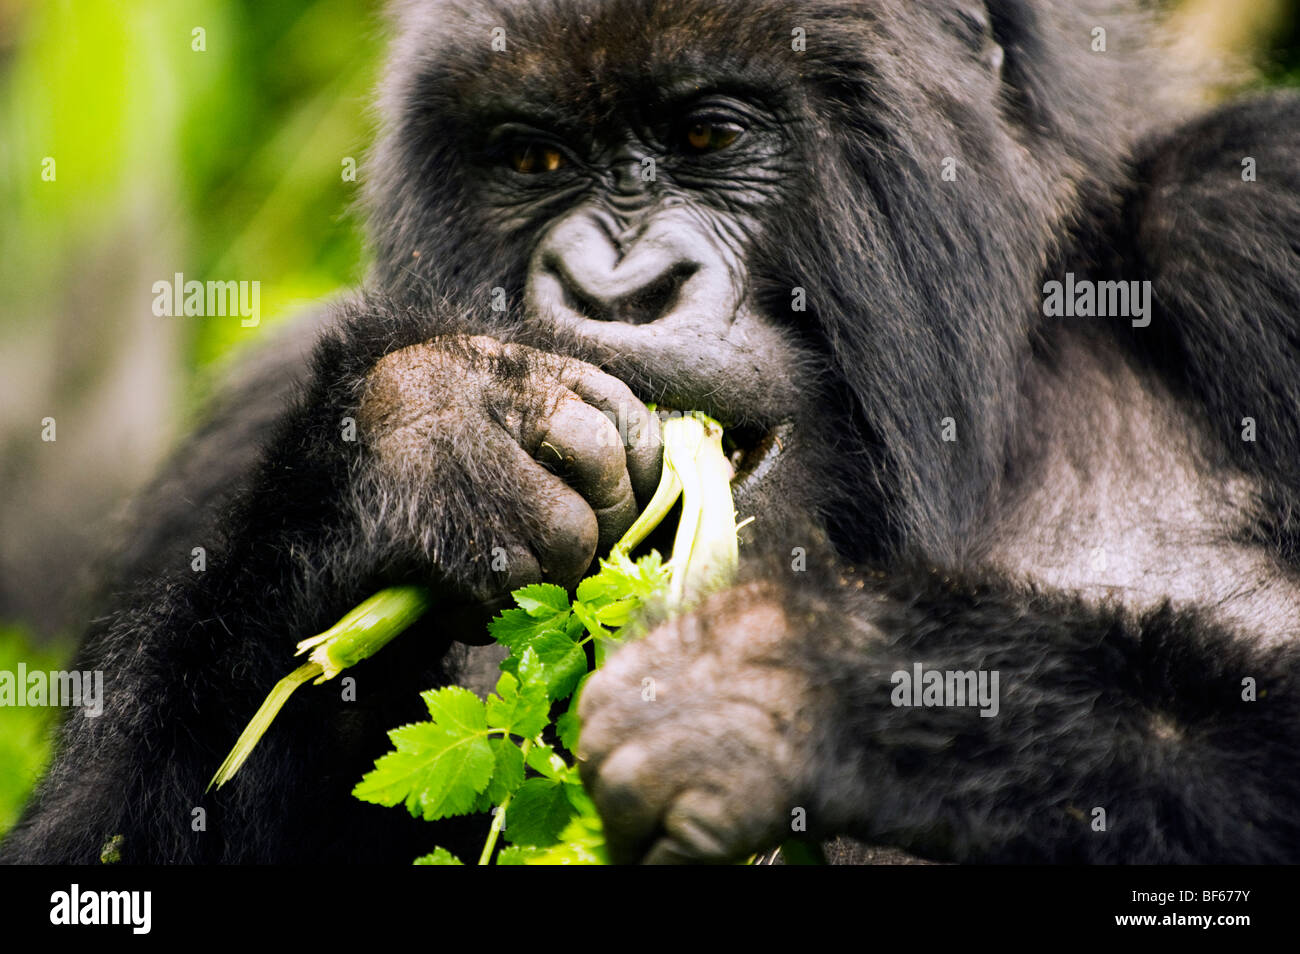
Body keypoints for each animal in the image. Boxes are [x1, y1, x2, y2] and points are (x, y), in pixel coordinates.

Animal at [2, 0, 1300, 868]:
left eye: (708, 139)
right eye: (535, 156)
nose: (612, 288)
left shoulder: (1253, 204)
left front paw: (798, 682)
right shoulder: (241, 428)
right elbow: (90, 843)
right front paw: (417, 442)